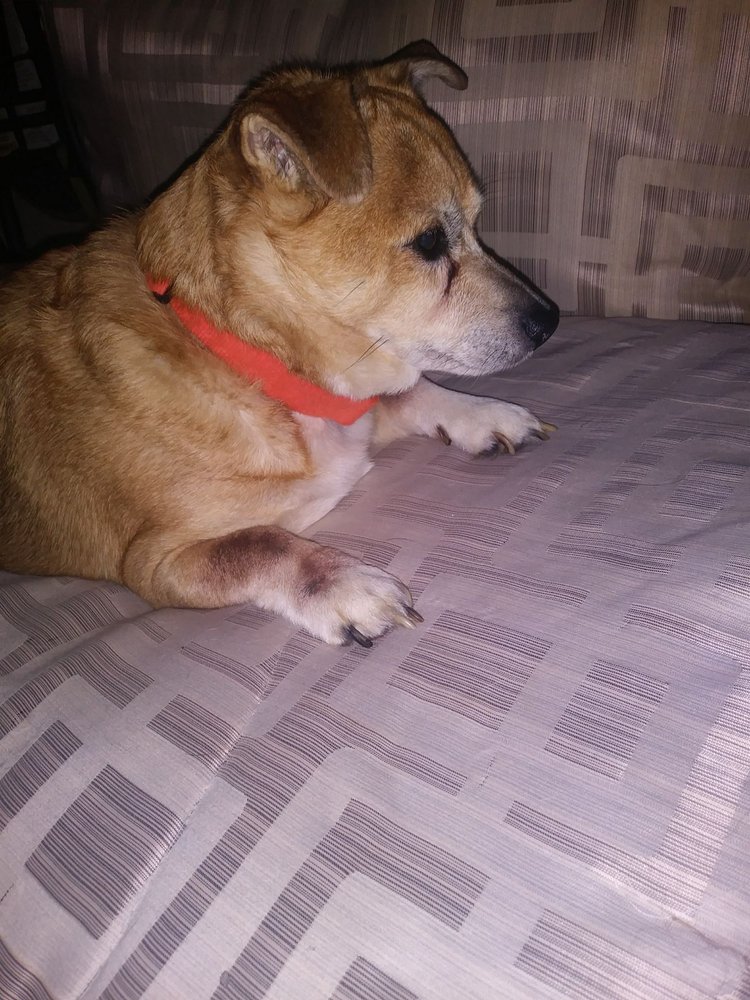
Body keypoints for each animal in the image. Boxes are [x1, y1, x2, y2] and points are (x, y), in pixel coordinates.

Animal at [0, 41, 558, 647]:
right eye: (430, 242)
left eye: (478, 225)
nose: (549, 321)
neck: (251, 360)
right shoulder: (155, 564)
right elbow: (259, 543)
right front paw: (342, 584)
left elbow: (408, 392)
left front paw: (482, 414)